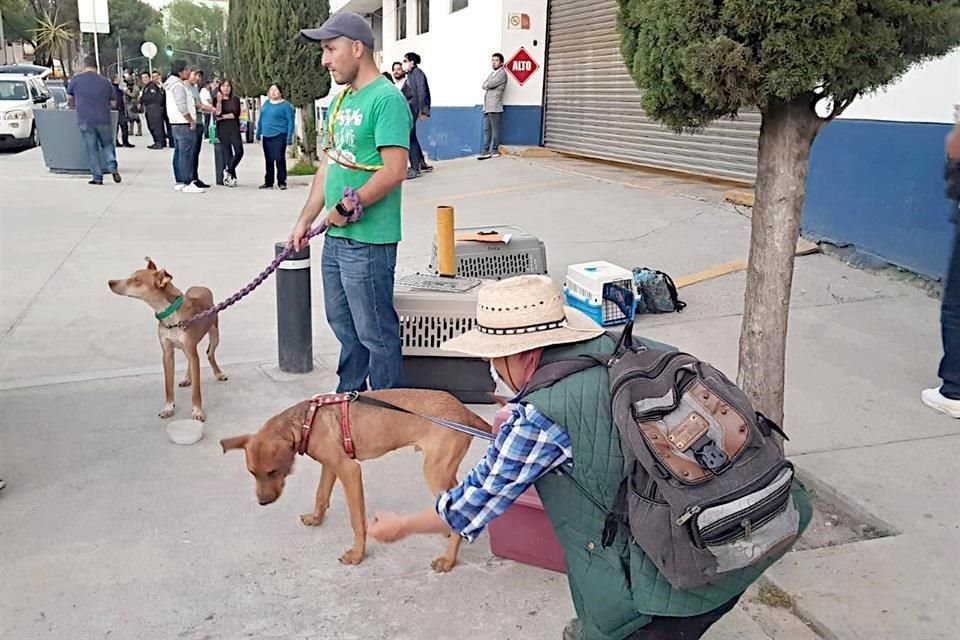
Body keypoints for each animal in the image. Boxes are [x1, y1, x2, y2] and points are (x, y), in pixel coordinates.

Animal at [108, 258, 227, 422]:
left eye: (137, 280)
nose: (110, 282)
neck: (170, 315)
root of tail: (201, 287)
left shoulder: (191, 350)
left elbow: (196, 390)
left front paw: (197, 411)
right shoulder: (167, 353)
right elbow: (168, 386)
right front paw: (168, 408)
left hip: (215, 335)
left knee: (209, 354)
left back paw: (218, 373)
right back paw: (187, 378)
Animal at [223, 388, 496, 572]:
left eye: (272, 471)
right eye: (252, 473)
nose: (263, 502)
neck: (307, 420)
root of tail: (464, 411)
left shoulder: (349, 470)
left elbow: (357, 521)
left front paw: (357, 554)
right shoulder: (330, 466)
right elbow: (321, 494)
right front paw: (316, 518)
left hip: (435, 470)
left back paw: (448, 560)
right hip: (444, 469)